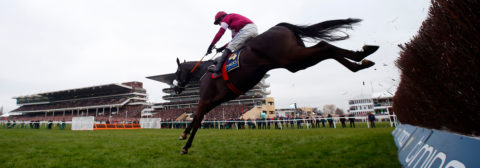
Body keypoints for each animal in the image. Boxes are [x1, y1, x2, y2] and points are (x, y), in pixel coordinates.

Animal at [172, 18, 378, 154]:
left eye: (176, 73)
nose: (176, 88)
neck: (204, 71)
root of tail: (279, 26)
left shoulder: (206, 99)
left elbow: (197, 119)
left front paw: (185, 146)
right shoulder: (215, 101)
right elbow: (195, 118)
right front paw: (183, 135)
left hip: (292, 57)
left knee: (324, 46)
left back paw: (361, 55)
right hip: (295, 62)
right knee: (324, 48)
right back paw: (362, 58)